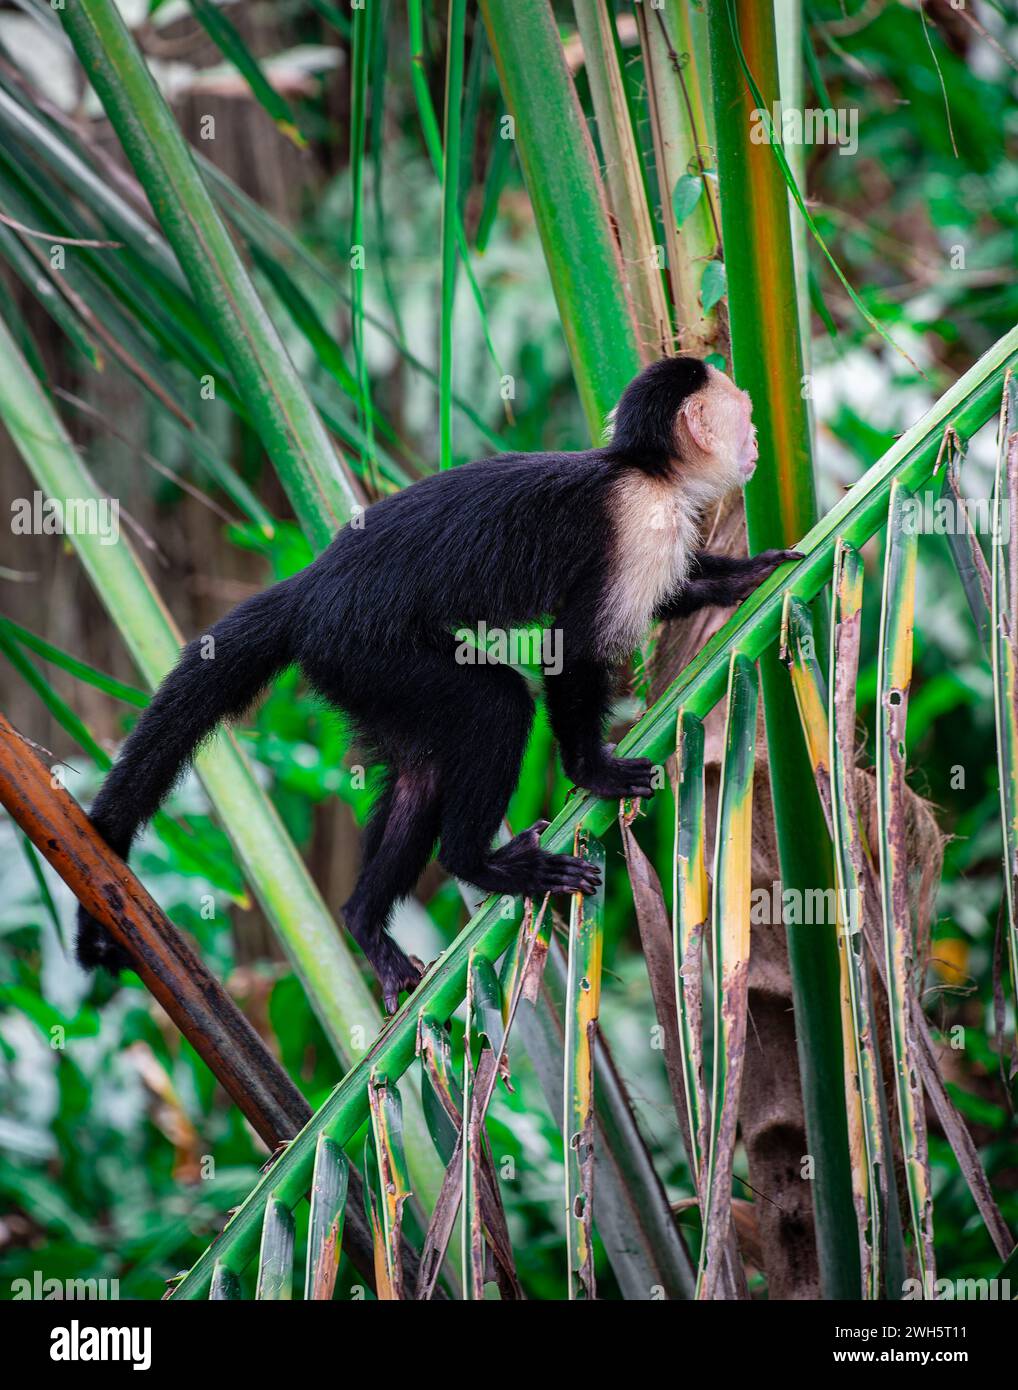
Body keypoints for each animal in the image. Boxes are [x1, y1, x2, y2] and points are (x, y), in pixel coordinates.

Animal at [76, 356, 801, 1011]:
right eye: (743, 411)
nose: (757, 439)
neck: (648, 469)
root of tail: (308, 587)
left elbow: (671, 594)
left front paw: (750, 574)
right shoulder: (638, 519)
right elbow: (574, 646)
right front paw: (591, 770)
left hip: (356, 675)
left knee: (420, 773)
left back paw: (365, 921)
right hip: (362, 644)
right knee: (496, 707)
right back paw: (476, 863)